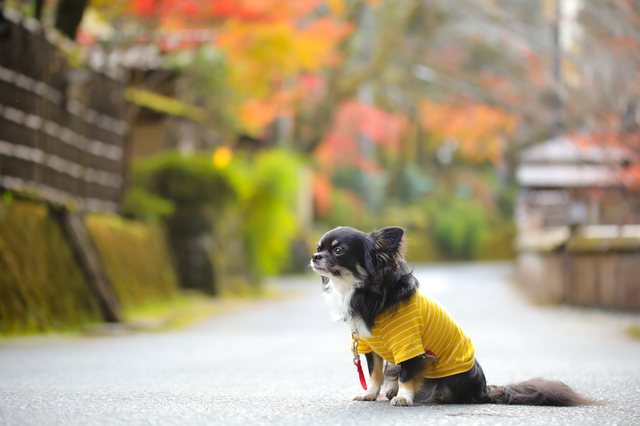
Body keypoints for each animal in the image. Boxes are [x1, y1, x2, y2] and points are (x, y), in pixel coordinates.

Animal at [312, 226, 596, 406]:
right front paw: (371, 394)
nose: (314, 256)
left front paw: (404, 397)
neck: (364, 292)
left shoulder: (409, 345)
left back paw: (440, 397)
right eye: (319, 248)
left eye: (338, 251)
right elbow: (375, 373)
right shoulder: (369, 345)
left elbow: (405, 373)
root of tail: (484, 391)